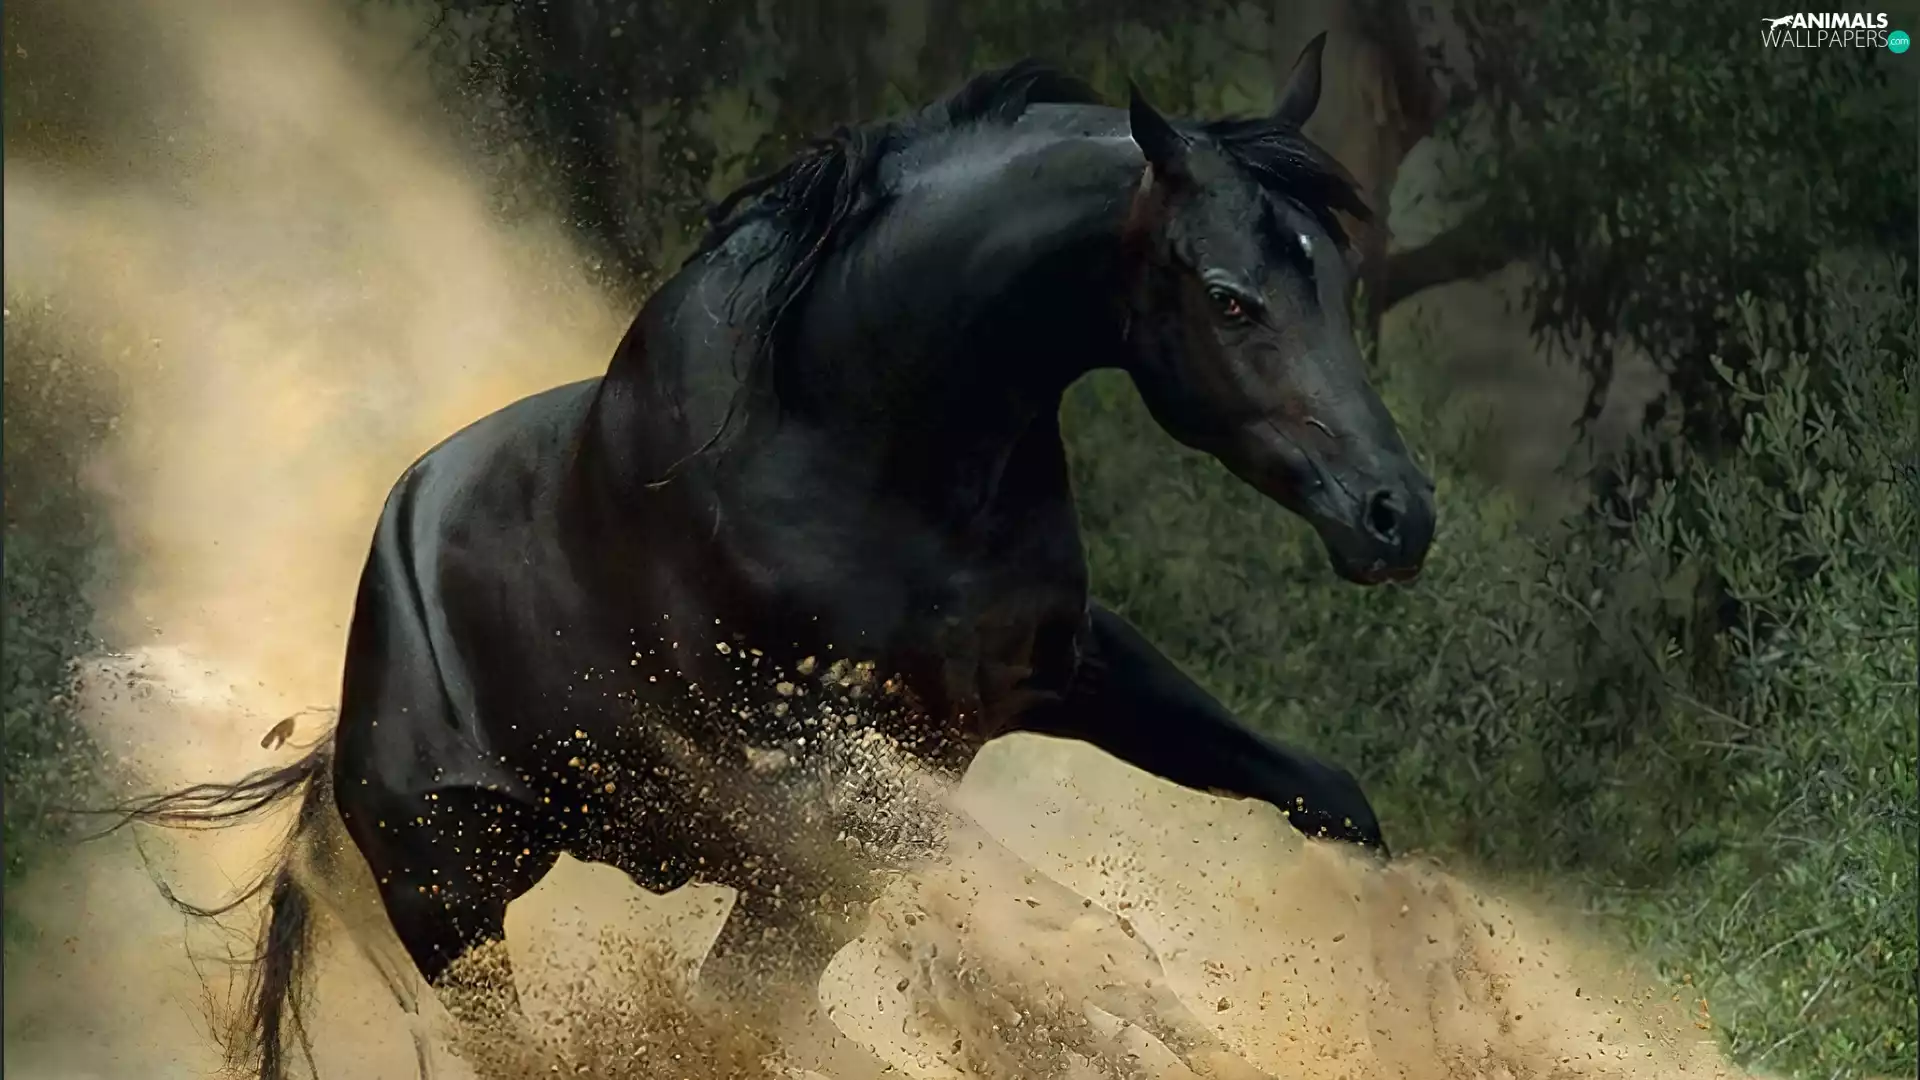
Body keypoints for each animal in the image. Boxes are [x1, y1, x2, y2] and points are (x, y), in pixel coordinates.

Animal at [113, 33, 1434, 1079]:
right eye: (1229, 297)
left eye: (1332, 269)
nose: (1398, 514)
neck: (860, 437)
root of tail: (348, 716)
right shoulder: (822, 757)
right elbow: (1100, 946)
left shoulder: (1053, 677)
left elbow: (1333, 800)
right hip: (462, 908)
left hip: (772, 884)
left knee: (746, 1005)